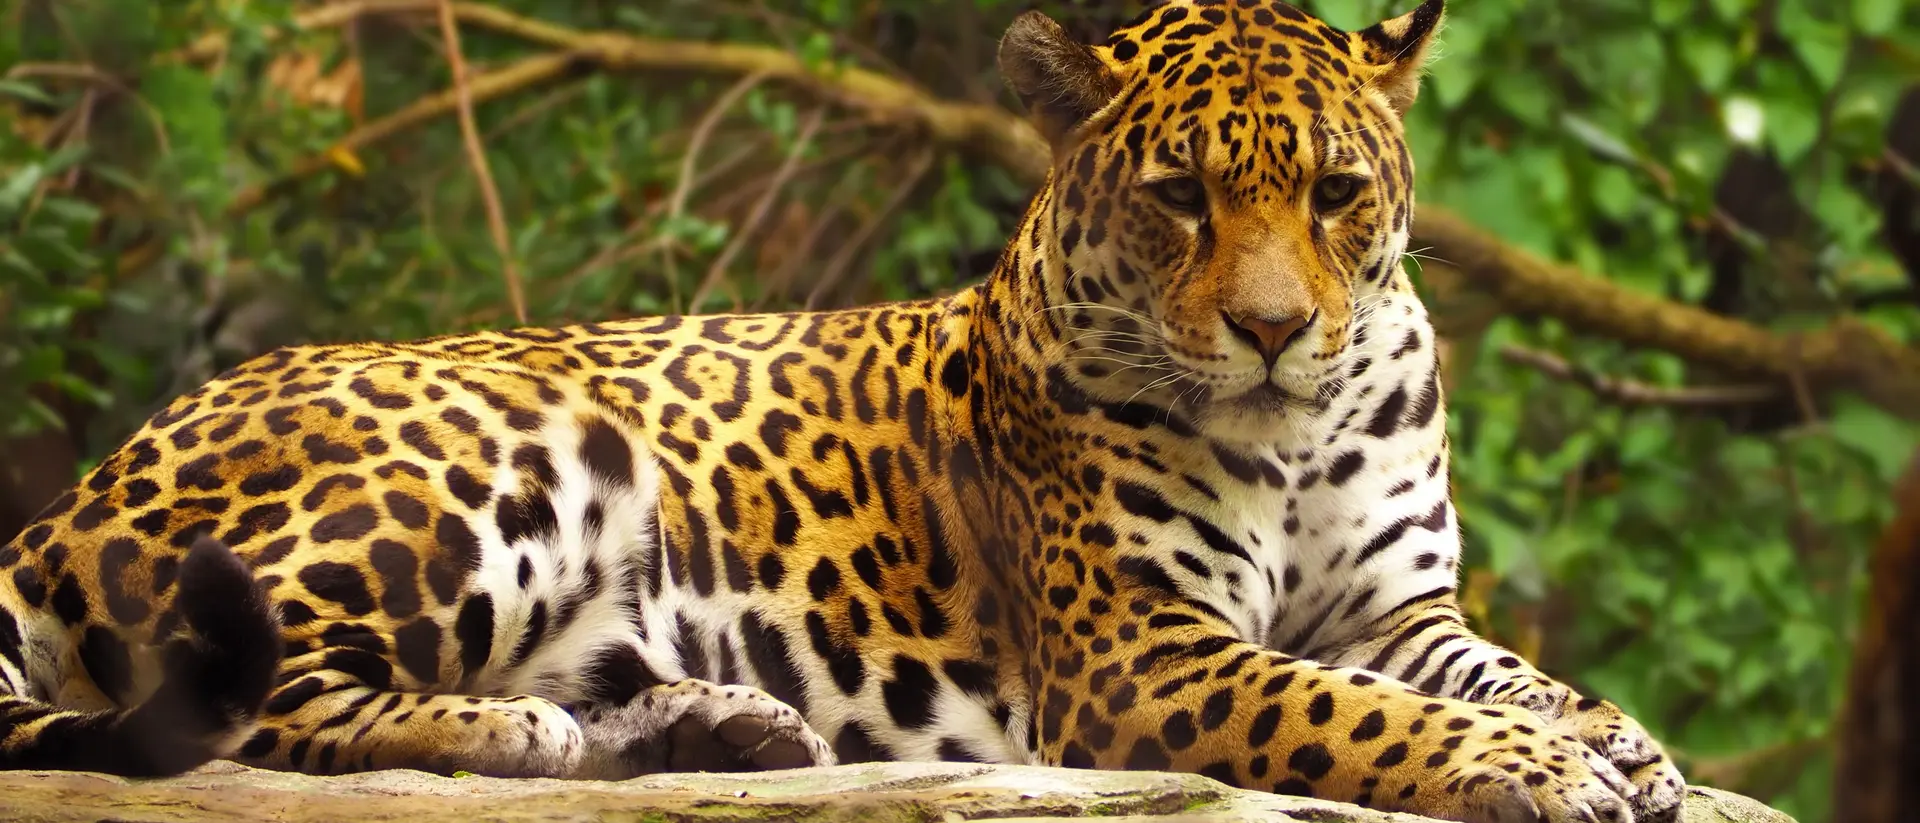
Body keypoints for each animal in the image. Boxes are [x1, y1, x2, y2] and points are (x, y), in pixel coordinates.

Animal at [0, 1, 1688, 821]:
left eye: (1337, 194)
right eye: (1180, 198)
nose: (1274, 331)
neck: (1297, 430)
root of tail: (66, 503)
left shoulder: (1399, 603)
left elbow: (1498, 669)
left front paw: (1622, 742)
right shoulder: (1140, 651)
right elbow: (1352, 708)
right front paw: (1542, 770)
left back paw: (712, 723)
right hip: (498, 457)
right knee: (257, 699)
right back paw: (530, 725)